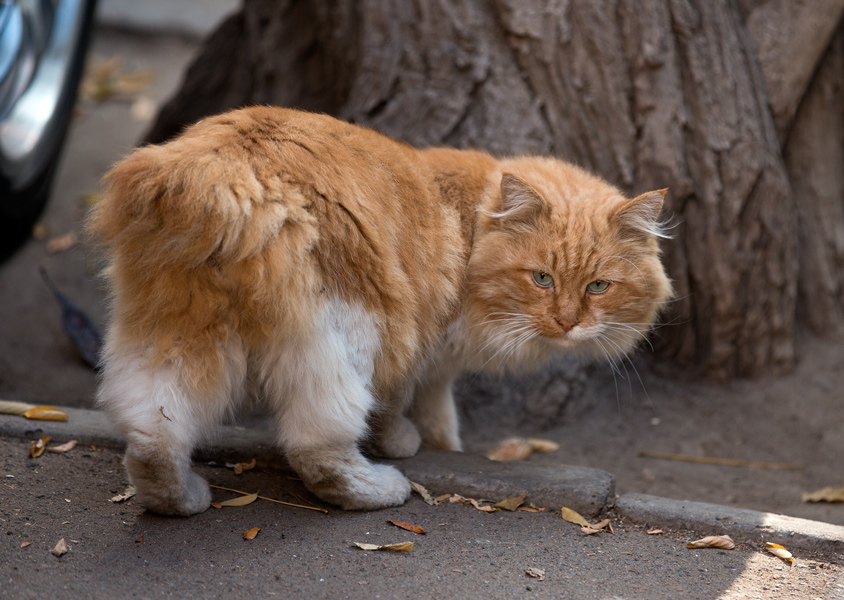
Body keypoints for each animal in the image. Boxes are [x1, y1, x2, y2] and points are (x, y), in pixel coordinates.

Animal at [89, 106, 672, 516]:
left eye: (598, 286)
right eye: (542, 279)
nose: (567, 322)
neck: (471, 230)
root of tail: (226, 164)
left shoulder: (437, 365)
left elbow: (439, 415)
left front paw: (439, 444)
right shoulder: (416, 345)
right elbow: (398, 409)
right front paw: (406, 445)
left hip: (174, 332)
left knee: (151, 436)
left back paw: (179, 500)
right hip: (347, 335)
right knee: (316, 449)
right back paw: (380, 488)